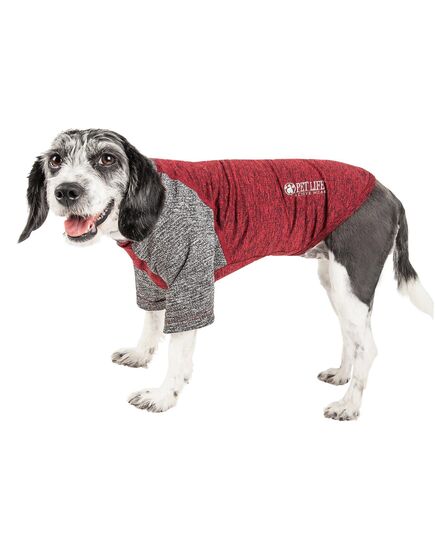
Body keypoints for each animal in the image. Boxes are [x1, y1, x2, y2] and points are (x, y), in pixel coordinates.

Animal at [19, 129, 433, 419]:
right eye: (55, 159)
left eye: (106, 158)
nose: (66, 191)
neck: (148, 204)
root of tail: (389, 193)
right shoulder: (150, 279)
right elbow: (151, 323)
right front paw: (141, 354)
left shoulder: (191, 283)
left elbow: (178, 352)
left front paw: (163, 396)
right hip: (335, 282)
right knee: (352, 336)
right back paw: (342, 375)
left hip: (352, 281)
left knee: (369, 347)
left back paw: (349, 405)